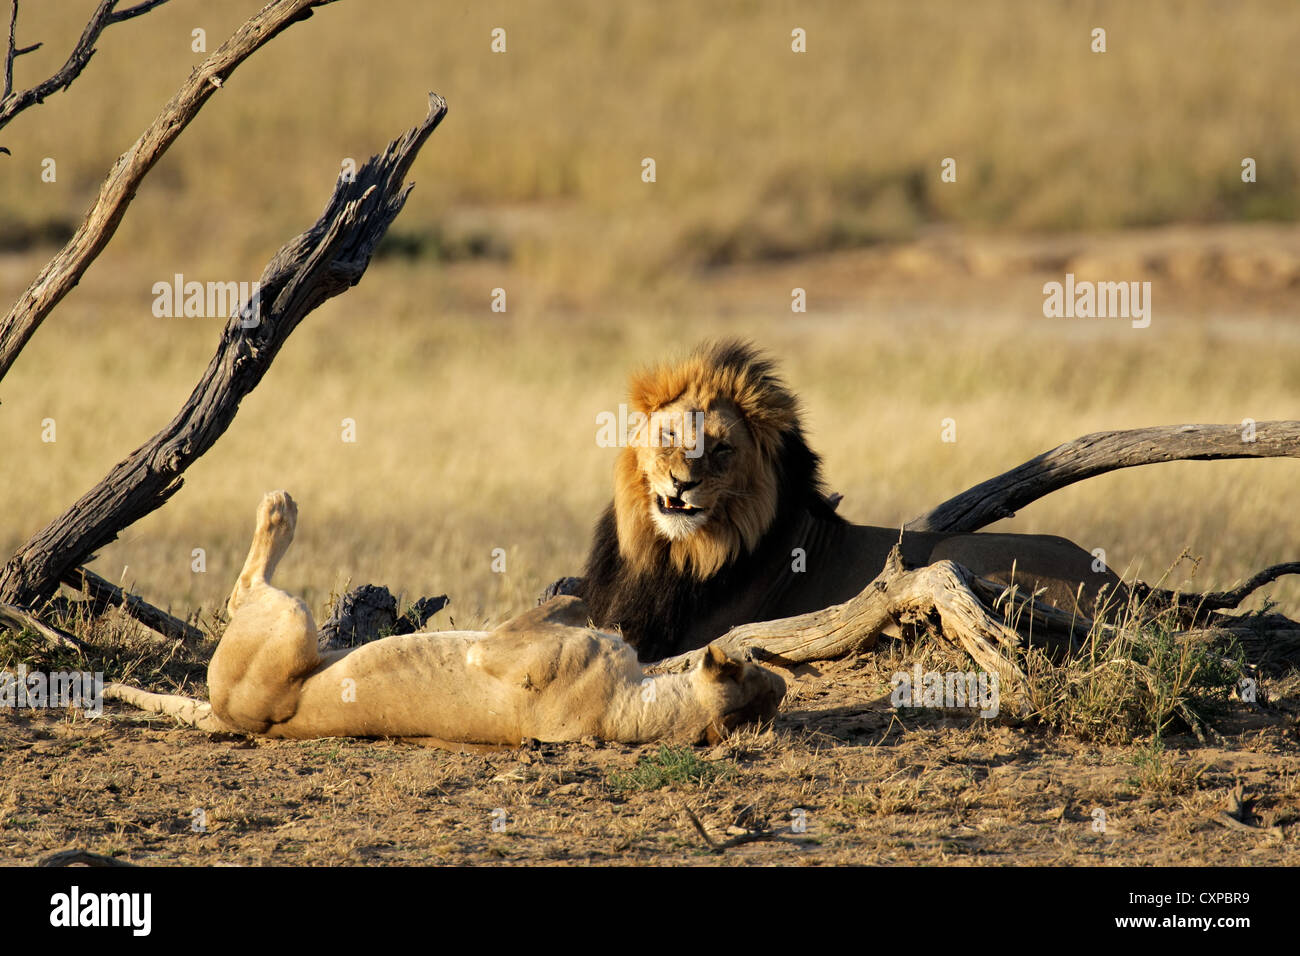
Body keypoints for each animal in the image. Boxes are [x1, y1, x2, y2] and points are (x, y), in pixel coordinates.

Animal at [106, 494, 780, 749]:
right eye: (761, 668)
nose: (772, 671)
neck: (633, 708)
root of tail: (226, 716)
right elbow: (589, 609)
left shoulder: (500, 649)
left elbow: (562, 615)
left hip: (289, 626)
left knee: (244, 590)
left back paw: (280, 509)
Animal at [574, 340, 1123, 660]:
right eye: (669, 435)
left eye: (723, 448)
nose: (681, 484)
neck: (673, 553)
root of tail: (1118, 586)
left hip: (967, 559)